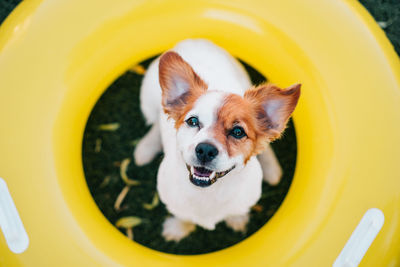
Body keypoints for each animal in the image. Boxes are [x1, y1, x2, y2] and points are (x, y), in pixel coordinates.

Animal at [134, 39, 300, 243]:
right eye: (193, 121)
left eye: (238, 132)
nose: (205, 150)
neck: (207, 194)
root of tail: (195, 40)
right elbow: (183, 216)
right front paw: (179, 228)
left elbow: (237, 211)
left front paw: (237, 219)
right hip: (147, 103)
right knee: (156, 121)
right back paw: (145, 148)